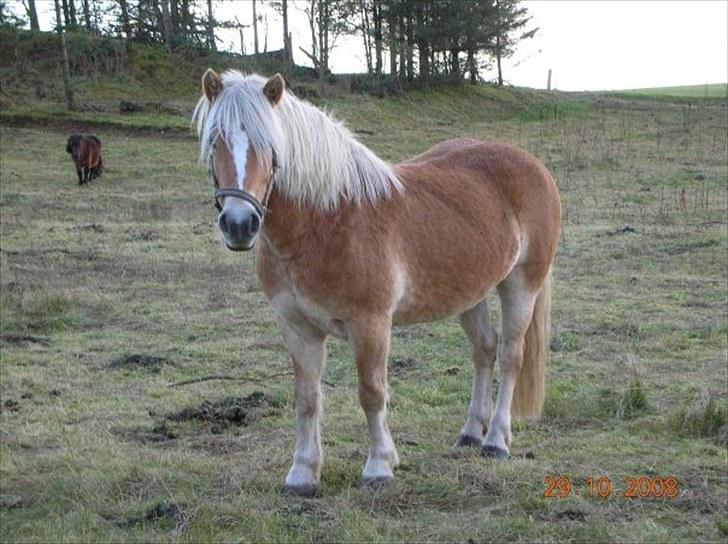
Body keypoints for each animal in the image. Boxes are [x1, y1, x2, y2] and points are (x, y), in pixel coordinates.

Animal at [191, 69, 560, 498]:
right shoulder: (297, 327)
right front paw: (302, 473)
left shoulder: (370, 324)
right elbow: (306, 398)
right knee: (483, 351)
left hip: (522, 284)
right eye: (214, 140)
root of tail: (533, 164)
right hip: (471, 293)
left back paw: (497, 440)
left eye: (270, 145)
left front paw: (379, 466)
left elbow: (371, 393)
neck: (326, 220)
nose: (239, 224)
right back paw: (471, 432)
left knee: (509, 355)